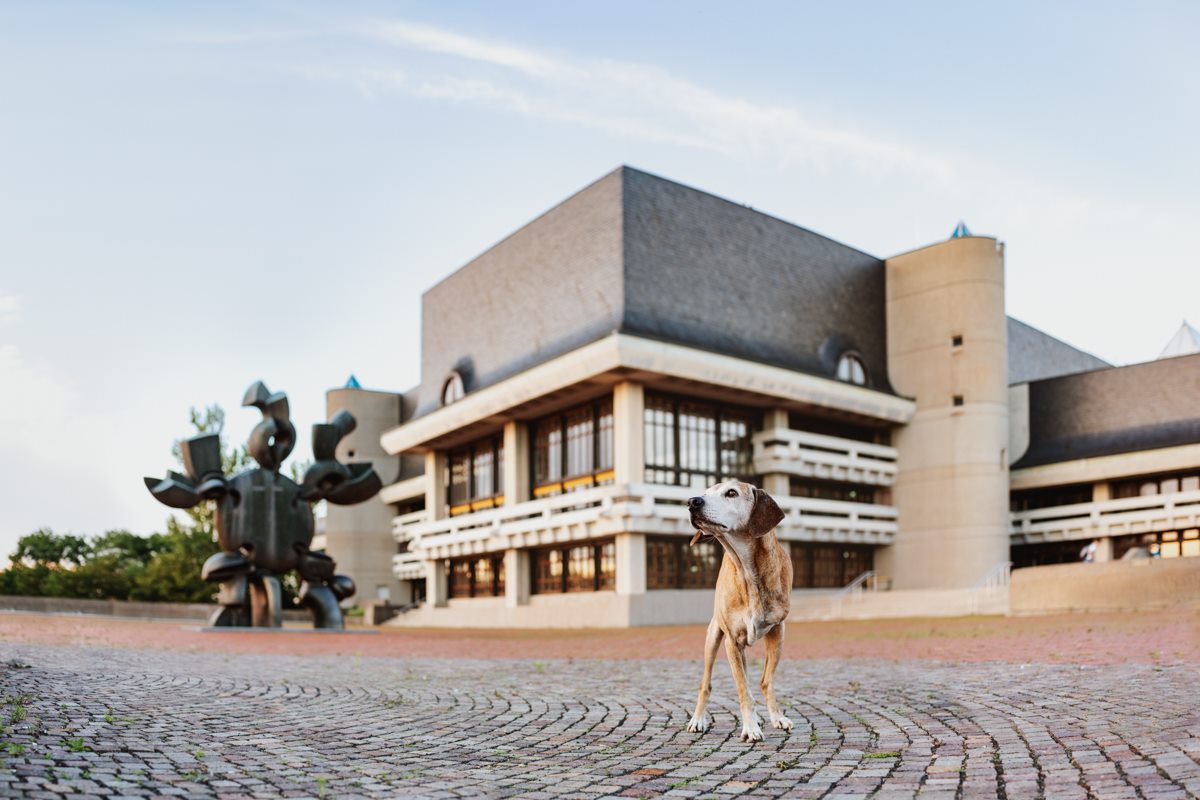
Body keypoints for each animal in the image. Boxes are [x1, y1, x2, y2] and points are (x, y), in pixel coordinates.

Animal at [686, 479, 787, 743]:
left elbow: (766, 681)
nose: (692, 501)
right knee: (706, 684)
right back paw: (698, 719)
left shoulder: (778, 632)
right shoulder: (731, 640)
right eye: (705, 492)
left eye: (731, 493)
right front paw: (750, 727)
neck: (747, 570)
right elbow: (742, 688)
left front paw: (776, 716)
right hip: (713, 638)